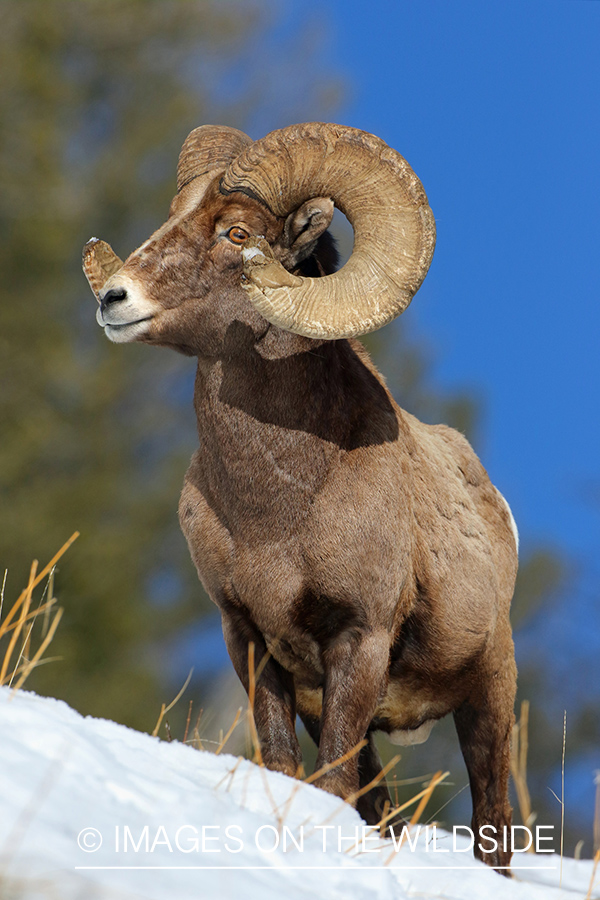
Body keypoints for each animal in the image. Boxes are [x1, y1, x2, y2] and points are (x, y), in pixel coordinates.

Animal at [82, 123, 516, 868]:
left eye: (236, 233)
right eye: (174, 214)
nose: (115, 299)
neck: (273, 516)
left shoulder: (358, 641)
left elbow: (332, 782)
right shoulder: (252, 641)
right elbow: (290, 767)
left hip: (489, 695)